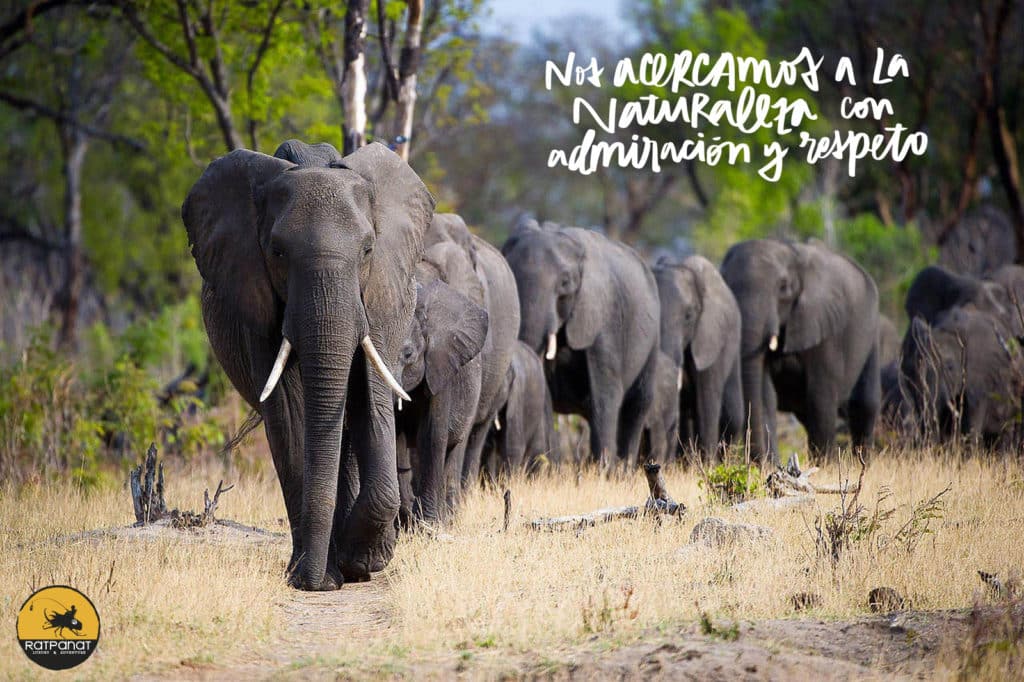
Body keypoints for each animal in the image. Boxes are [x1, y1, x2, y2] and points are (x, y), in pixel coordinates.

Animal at [181, 140, 434, 590]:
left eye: (368, 250)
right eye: (277, 252)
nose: (313, 581)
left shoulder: (380, 294)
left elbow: (371, 396)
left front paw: (361, 561)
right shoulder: (255, 298)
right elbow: (288, 410)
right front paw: (316, 577)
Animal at [395, 241, 489, 526]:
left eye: (408, 354)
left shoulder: (441, 368)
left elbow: (433, 435)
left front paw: (428, 525)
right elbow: (396, 436)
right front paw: (405, 522)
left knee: (453, 448)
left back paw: (448, 518)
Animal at [501, 219, 660, 469]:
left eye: (565, 283)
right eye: (511, 274)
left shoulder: (602, 315)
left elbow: (605, 392)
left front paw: (603, 472)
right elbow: (545, 393)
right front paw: (552, 470)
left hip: (653, 337)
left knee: (637, 404)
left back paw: (624, 470)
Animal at [720, 239, 881, 464]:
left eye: (783, 287)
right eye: (725, 282)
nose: (758, 463)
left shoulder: (824, 326)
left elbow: (820, 395)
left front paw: (826, 465)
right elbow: (766, 394)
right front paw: (771, 466)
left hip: (871, 332)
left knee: (864, 404)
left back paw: (861, 463)